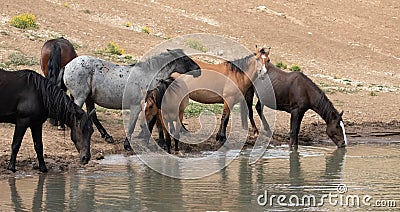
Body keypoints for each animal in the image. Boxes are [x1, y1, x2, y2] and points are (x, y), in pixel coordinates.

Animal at [64, 48, 202, 151]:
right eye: (184, 59)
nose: (199, 70)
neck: (147, 75)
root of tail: (67, 66)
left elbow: (149, 122)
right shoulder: (136, 106)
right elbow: (132, 125)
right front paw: (128, 145)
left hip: (88, 98)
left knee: (92, 116)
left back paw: (107, 136)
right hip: (80, 97)